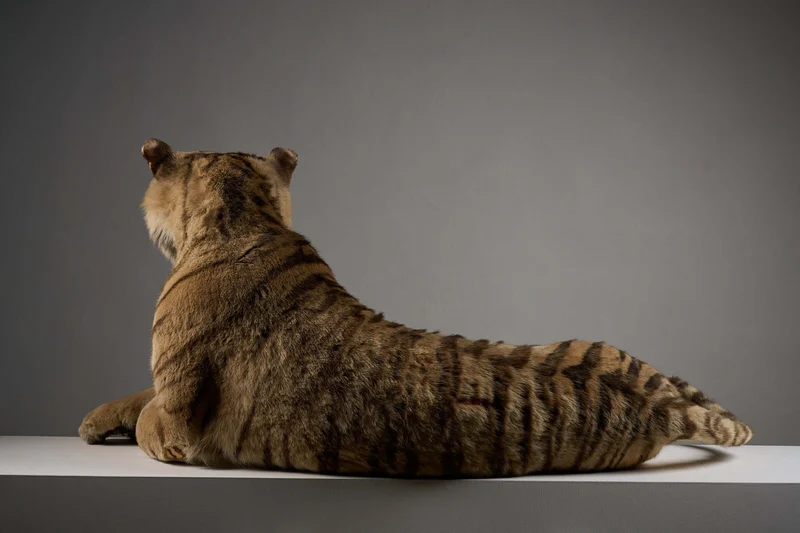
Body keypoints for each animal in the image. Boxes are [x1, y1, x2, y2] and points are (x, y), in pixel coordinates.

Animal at [78, 138, 753, 476]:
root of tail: (658, 402)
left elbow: (149, 415)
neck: (246, 213)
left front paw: (106, 427)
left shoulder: (179, 421)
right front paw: (98, 420)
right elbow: (134, 395)